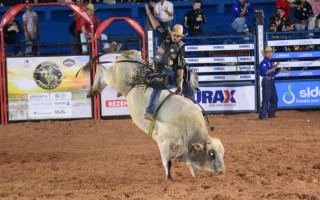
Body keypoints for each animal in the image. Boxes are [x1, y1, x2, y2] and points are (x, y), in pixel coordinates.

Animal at [84, 50, 226, 180]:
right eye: (212, 154)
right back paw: (92, 90)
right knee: (100, 69)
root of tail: (130, 54)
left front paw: (196, 175)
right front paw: (169, 178)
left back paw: (95, 90)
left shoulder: (184, 148)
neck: (186, 126)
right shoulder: (163, 142)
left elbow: (189, 163)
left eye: (222, 153)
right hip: (115, 79)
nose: (222, 171)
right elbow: (167, 162)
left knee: (104, 79)